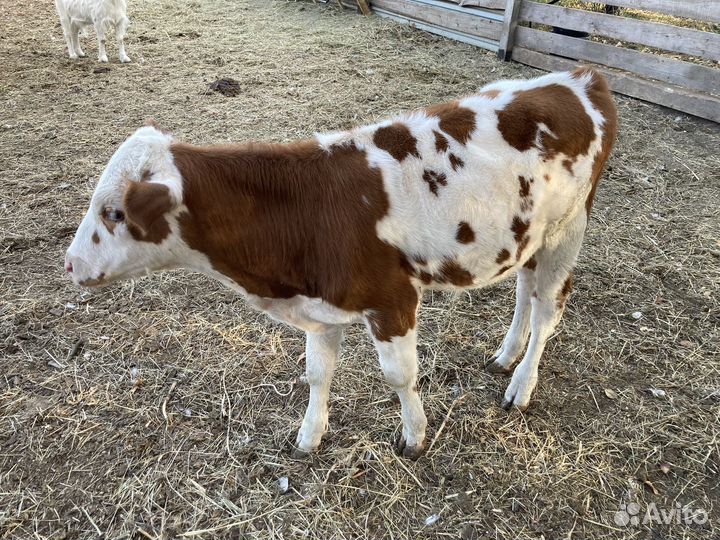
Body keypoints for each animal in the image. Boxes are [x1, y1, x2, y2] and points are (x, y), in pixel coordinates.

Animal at [64, 68, 617, 459]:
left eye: (114, 212)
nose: (69, 264)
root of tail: (581, 76)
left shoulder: (393, 300)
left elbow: (399, 376)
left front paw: (414, 436)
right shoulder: (320, 305)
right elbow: (316, 374)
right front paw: (310, 436)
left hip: (569, 229)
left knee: (547, 309)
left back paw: (521, 384)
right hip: (528, 234)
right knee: (525, 289)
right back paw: (507, 354)